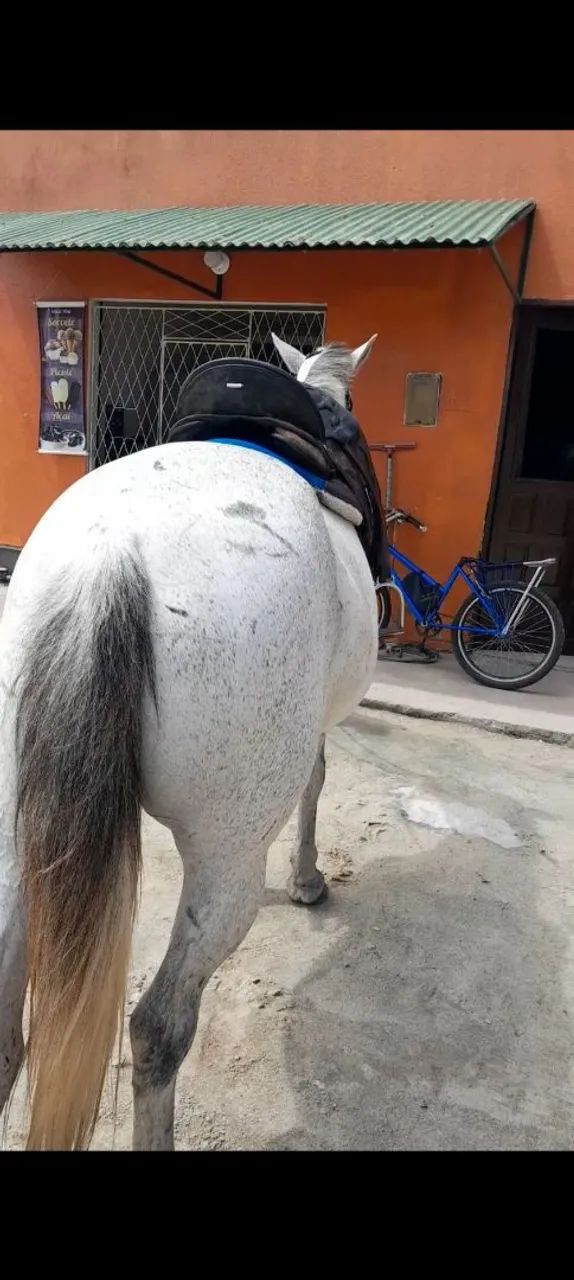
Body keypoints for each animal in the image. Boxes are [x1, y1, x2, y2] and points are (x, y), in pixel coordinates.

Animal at [0, 332, 379, 1150]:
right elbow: (316, 781)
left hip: (17, 830)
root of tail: (106, 561)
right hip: (225, 858)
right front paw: (306, 880)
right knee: (159, 1029)